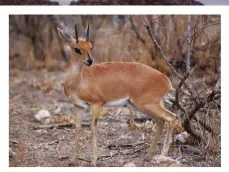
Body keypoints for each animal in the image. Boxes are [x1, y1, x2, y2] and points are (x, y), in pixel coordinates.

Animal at [57, 24, 177, 167]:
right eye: (77, 49)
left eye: (90, 47)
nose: (90, 61)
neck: (79, 82)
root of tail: (166, 80)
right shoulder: (79, 106)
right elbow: (78, 128)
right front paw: (72, 160)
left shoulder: (97, 105)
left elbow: (93, 128)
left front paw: (94, 161)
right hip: (144, 105)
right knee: (161, 121)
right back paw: (148, 156)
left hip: (147, 105)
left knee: (171, 117)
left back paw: (163, 154)